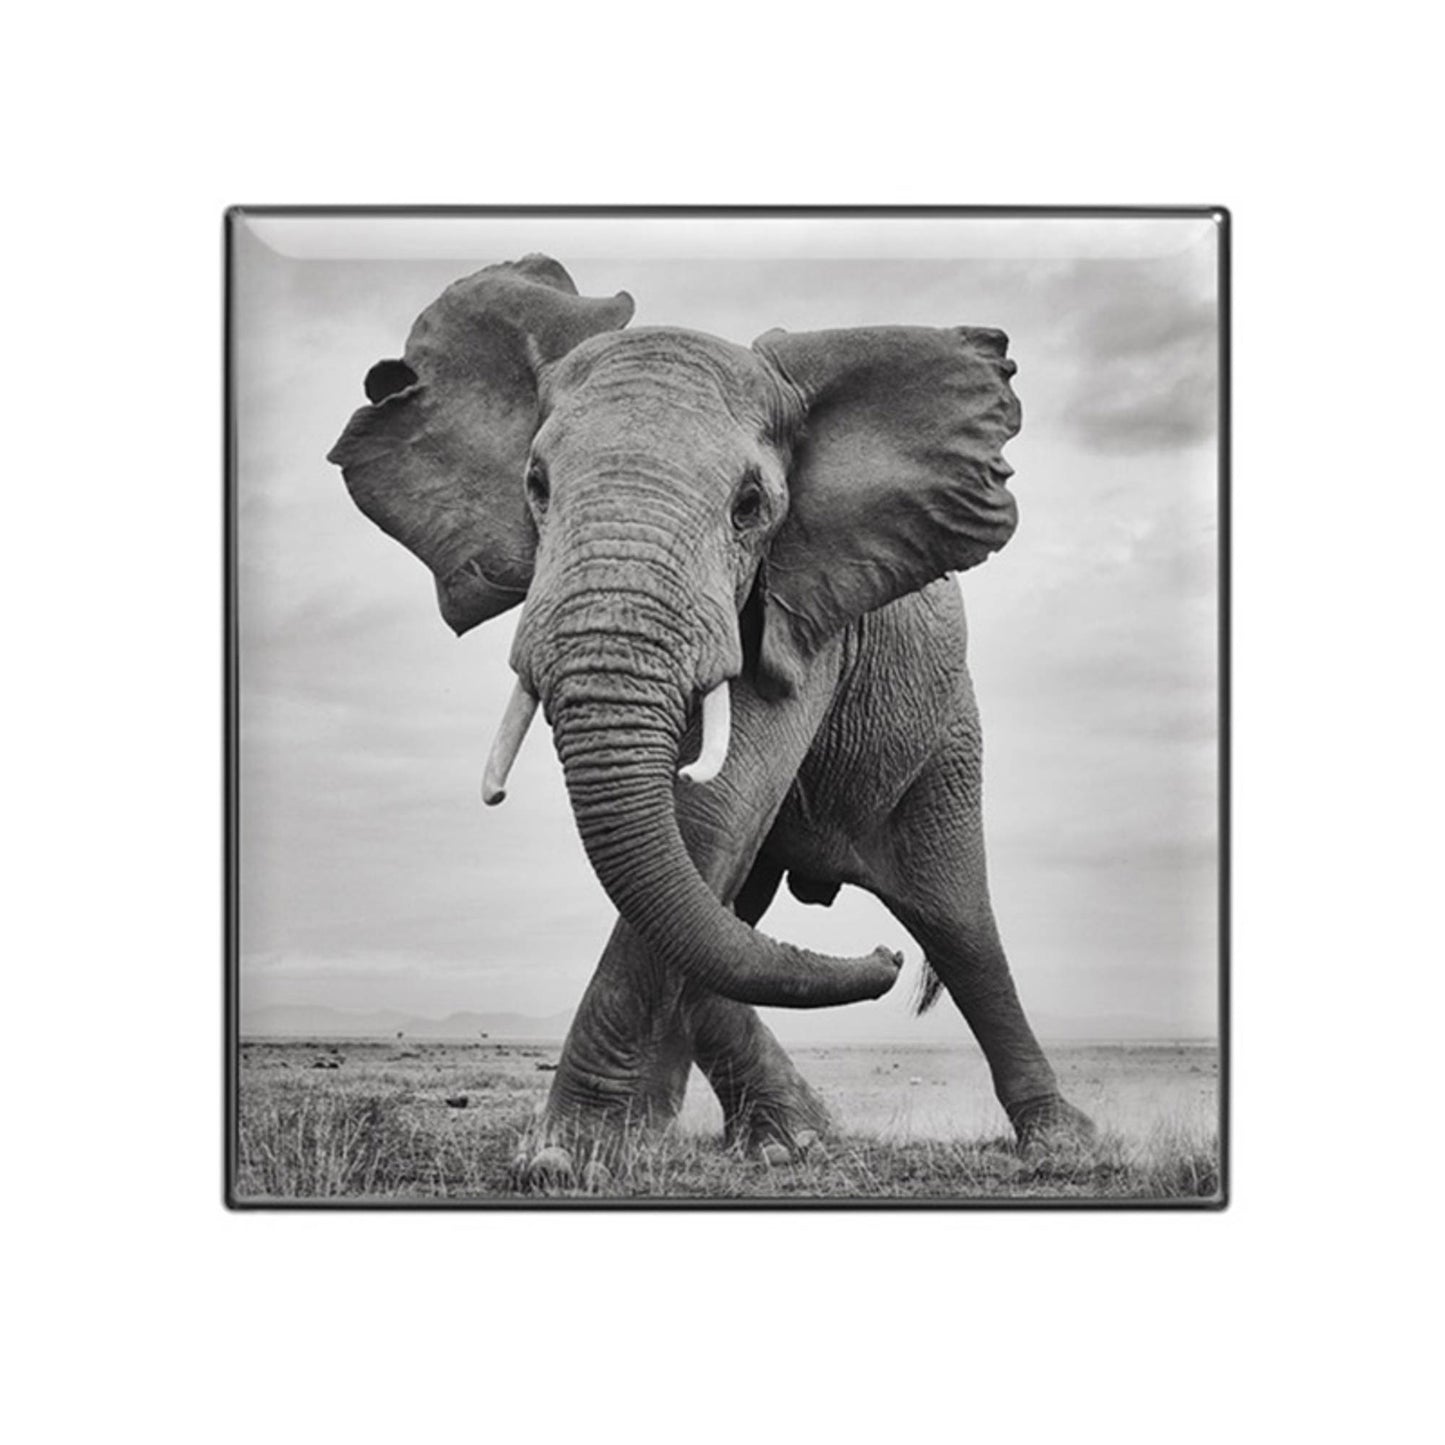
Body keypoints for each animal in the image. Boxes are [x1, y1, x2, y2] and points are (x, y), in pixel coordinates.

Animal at [327, 253, 1095, 1188]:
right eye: (535, 487)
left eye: (750, 505)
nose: (880, 959)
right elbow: (694, 872)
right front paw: (650, 1146)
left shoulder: (800, 606)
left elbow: (710, 817)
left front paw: (563, 1157)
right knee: (738, 910)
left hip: (944, 734)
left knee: (957, 923)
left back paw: (1060, 1141)